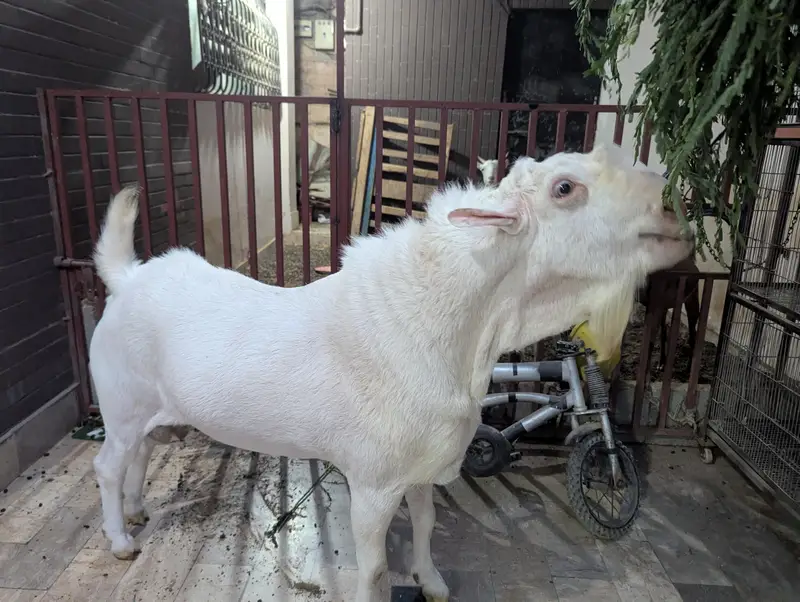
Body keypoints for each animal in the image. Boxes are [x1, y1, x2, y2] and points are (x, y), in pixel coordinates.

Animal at [89, 145, 694, 602]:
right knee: (108, 465)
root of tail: (126, 278)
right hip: (119, 403)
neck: (453, 333)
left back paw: (139, 509)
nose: (674, 214)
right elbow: (376, 567)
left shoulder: (423, 464)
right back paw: (119, 538)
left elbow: (426, 524)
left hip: (147, 409)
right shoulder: (373, 480)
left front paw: (433, 582)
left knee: (140, 454)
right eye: (565, 189)